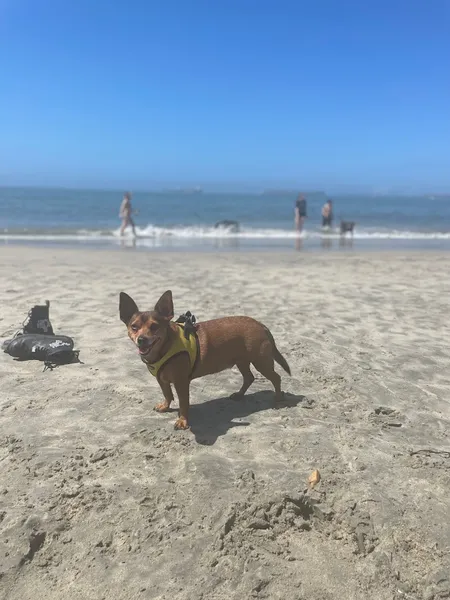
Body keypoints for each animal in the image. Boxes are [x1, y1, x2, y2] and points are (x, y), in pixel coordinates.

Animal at [118, 292, 292, 428]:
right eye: (134, 327)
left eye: (154, 327)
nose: (141, 339)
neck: (164, 348)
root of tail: (260, 325)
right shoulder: (162, 380)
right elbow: (167, 394)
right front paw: (165, 406)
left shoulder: (181, 383)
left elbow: (183, 402)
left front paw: (183, 420)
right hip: (241, 361)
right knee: (249, 378)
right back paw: (239, 394)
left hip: (261, 362)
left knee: (276, 377)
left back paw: (278, 399)